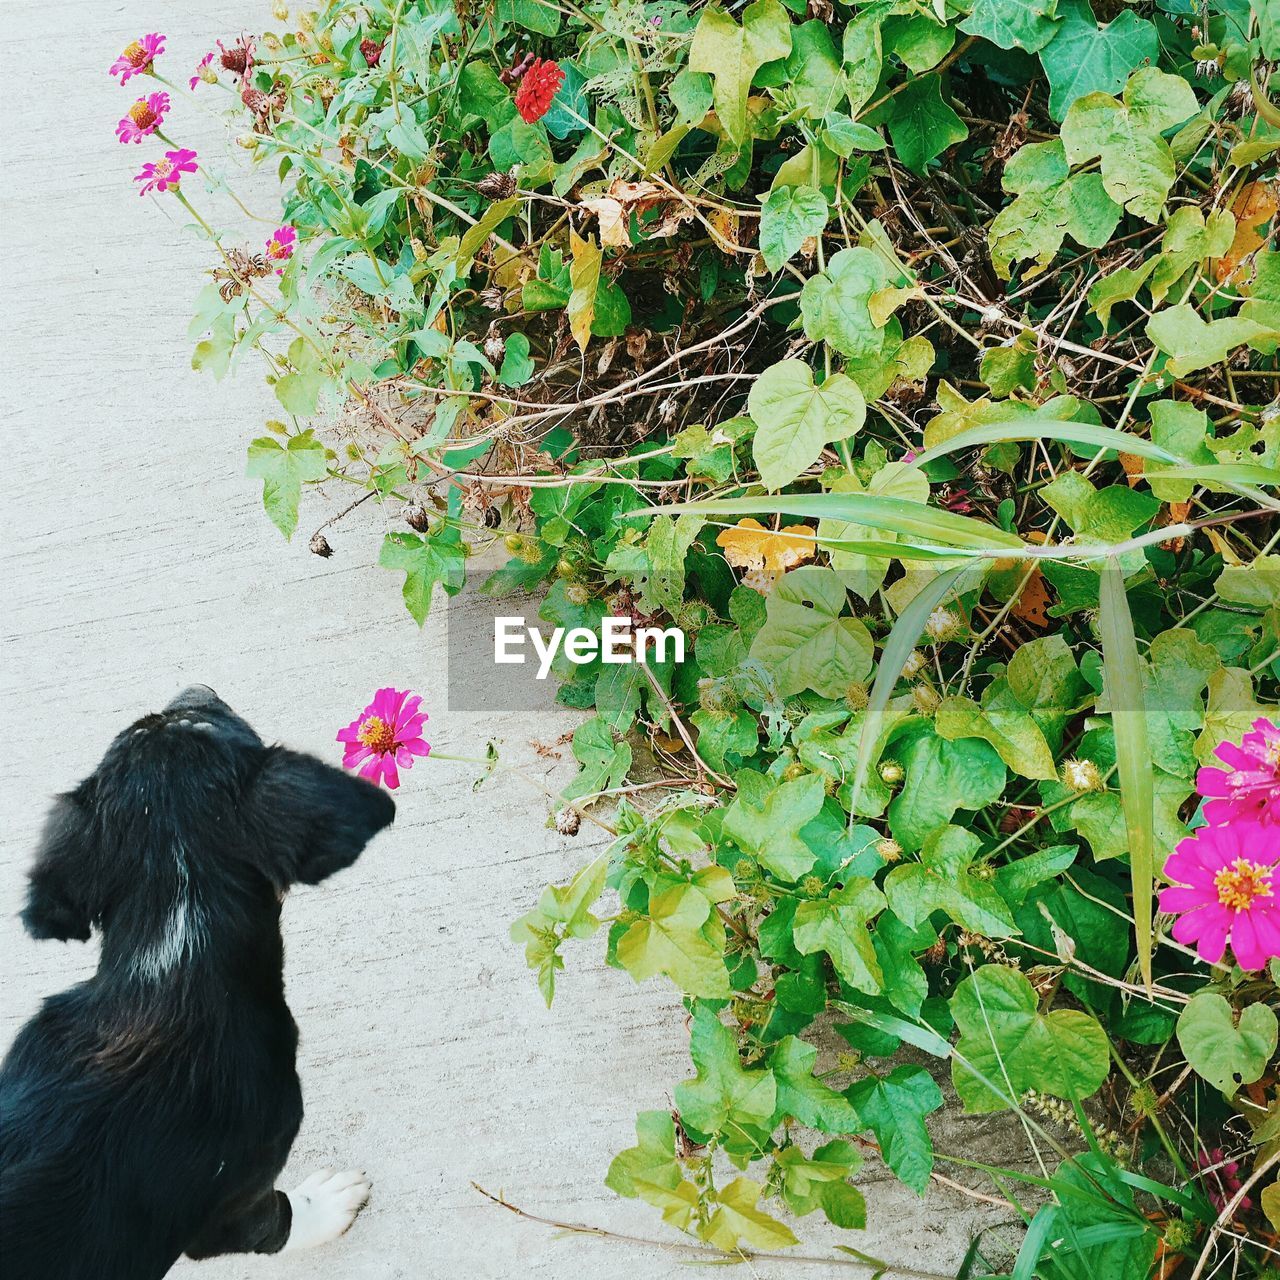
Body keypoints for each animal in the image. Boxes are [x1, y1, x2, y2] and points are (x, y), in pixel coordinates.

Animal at [0, 691, 394, 1280]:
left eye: (176, 719)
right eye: (212, 719)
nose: (197, 689)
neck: (176, 950)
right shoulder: (232, 1206)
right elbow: (280, 1220)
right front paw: (327, 1203)